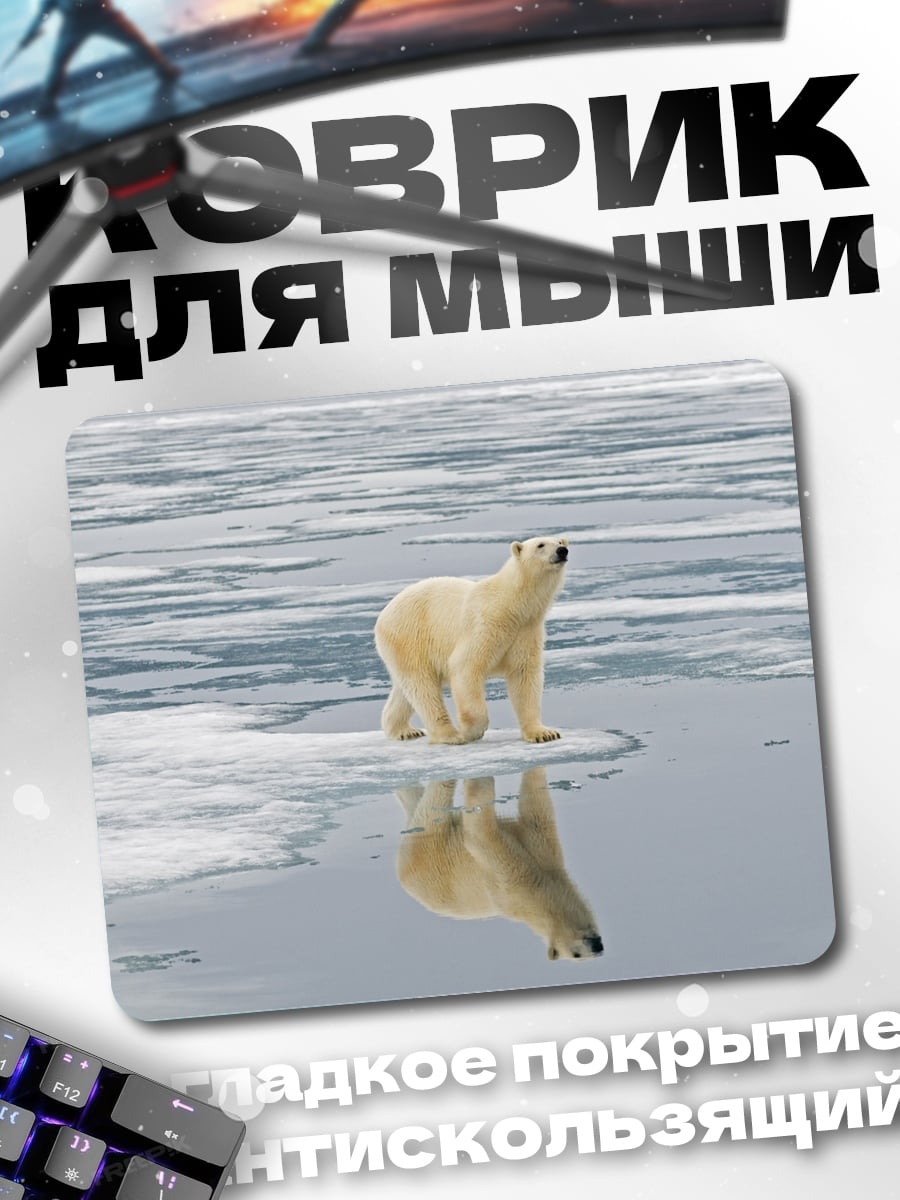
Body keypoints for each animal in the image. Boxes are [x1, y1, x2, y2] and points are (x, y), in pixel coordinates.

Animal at [374, 536, 568, 745]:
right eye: (540, 545)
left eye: (559, 541)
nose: (562, 551)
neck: (512, 605)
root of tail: (383, 616)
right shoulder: (486, 624)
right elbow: (465, 667)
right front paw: (470, 732)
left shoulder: (526, 630)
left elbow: (524, 675)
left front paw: (543, 733)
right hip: (409, 636)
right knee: (423, 686)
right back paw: (449, 735)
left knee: (405, 690)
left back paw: (404, 730)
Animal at [395, 768, 604, 962]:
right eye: (576, 954)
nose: (596, 946)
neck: (540, 890)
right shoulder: (510, 881)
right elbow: (480, 835)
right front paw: (481, 781)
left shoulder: (542, 850)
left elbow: (534, 806)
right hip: (428, 852)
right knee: (434, 806)